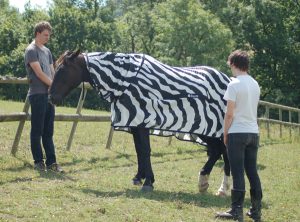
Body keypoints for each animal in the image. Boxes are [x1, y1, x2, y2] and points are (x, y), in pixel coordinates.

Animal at [50, 49, 231, 192]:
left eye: (62, 70)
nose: (51, 98)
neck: (126, 81)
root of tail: (227, 80)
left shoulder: (143, 120)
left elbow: (145, 150)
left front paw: (148, 182)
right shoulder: (135, 123)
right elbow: (139, 150)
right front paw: (139, 177)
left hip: (210, 128)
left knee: (221, 151)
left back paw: (213, 184)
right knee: (219, 150)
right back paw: (211, 184)